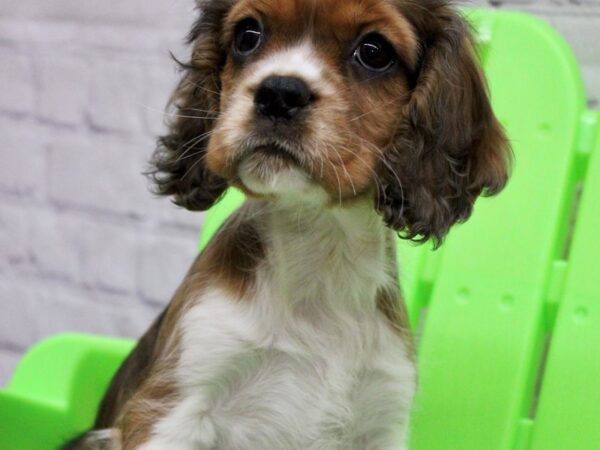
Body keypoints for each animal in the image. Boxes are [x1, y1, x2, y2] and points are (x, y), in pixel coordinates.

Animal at [67, 0, 510, 448]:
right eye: (248, 35)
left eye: (374, 52)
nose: (279, 93)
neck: (321, 245)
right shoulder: (172, 402)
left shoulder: (384, 415)